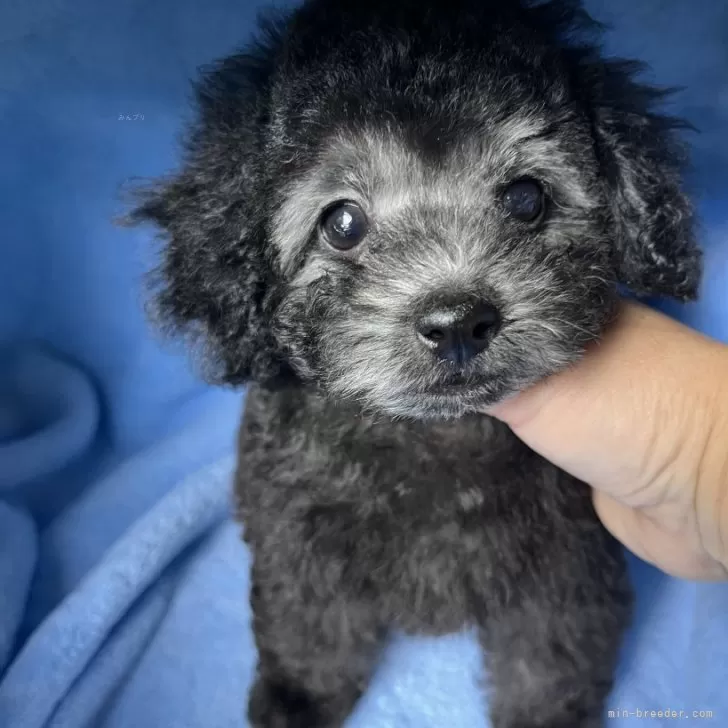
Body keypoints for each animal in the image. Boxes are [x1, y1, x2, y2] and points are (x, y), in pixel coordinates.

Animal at [131, 2, 700, 724]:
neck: (436, 435)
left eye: (526, 197)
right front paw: (296, 696)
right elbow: (306, 625)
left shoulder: (567, 560)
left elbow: (550, 655)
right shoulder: (297, 537)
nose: (458, 320)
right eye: (342, 223)